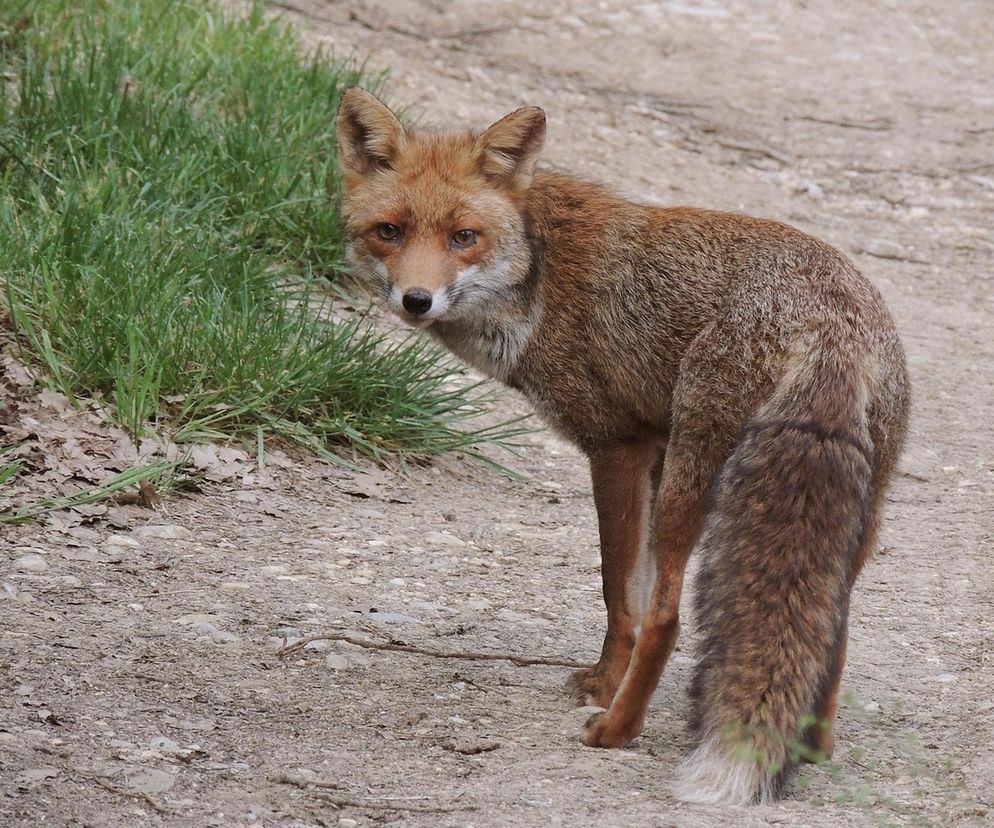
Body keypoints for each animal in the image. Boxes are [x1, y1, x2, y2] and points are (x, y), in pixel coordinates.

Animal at [338, 89, 912, 804]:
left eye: (463, 237)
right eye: (389, 231)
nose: (417, 300)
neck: (539, 272)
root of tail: (831, 325)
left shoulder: (618, 447)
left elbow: (623, 599)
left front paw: (604, 687)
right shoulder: (653, 449)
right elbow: (630, 596)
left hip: (691, 485)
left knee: (669, 617)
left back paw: (615, 731)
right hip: (856, 509)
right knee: (832, 629)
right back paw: (809, 748)